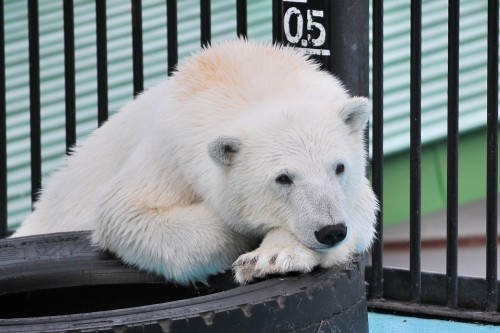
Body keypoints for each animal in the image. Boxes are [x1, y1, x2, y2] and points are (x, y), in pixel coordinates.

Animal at [12, 39, 376, 282]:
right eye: (283, 178)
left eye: (339, 167)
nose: (330, 230)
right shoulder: (168, 151)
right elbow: (127, 214)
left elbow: (363, 209)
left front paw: (272, 256)